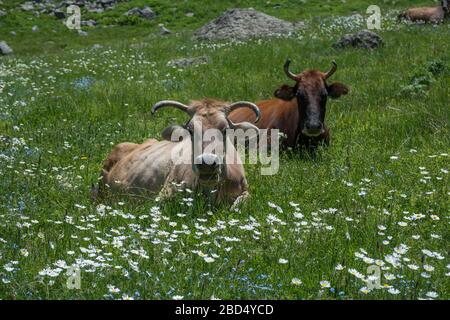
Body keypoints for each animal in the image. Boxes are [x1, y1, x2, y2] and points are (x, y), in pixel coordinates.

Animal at [98, 99, 260, 206]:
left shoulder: (246, 192)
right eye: (191, 130)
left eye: (225, 129)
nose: (207, 164)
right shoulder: (164, 193)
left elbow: (238, 205)